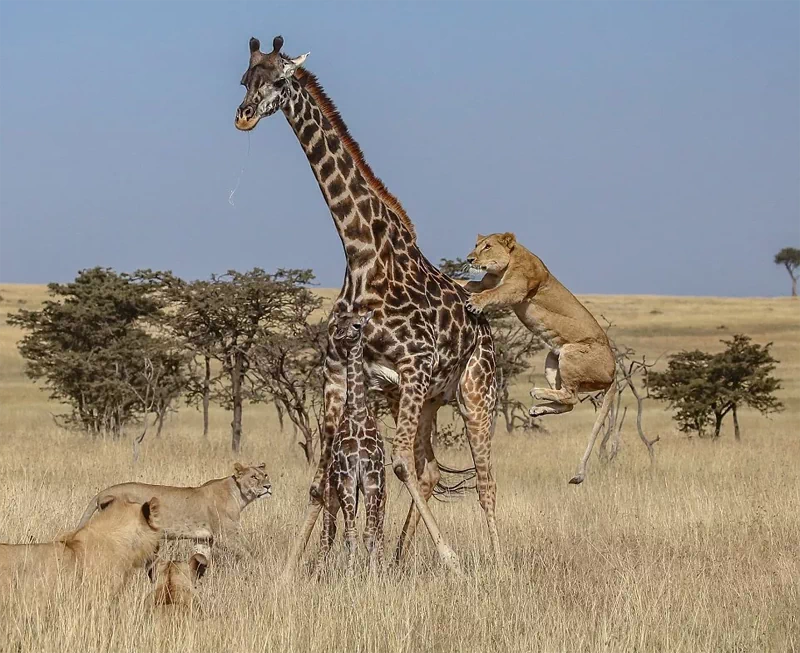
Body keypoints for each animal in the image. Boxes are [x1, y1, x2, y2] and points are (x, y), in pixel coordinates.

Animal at [78, 460, 272, 552]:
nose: (268, 486)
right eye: (254, 477)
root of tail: (104, 491)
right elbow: (247, 554)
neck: (239, 495)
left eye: (265, 475)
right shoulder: (226, 537)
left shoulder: (202, 539)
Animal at [320, 308, 390, 568]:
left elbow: (369, 534)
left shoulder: (372, 478)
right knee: (328, 533)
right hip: (331, 494)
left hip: (381, 494)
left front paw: (374, 573)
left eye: (358, 325)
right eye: (339, 322)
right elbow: (350, 534)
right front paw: (350, 573)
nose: (341, 334)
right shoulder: (347, 477)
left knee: (378, 530)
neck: (358, 413)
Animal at [462, 232, 612, 482]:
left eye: (487, 246)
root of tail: (615, 371)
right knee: (568, 403)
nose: (469, 259)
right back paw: (538, 408)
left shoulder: (515, 289)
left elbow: (492, 294)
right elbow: (467, 284)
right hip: (552, 358)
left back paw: (537, 392)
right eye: (476, 245)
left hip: (570, 352)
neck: (504, 266)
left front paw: (476, 302)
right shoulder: (484, 282)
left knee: (571, 396)